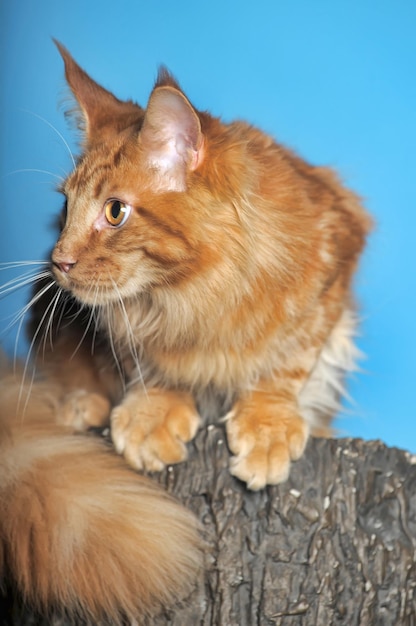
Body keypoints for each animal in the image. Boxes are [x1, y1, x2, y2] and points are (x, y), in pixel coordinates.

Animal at [0, 41, 370, 620]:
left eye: (115, 211)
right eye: (66, 206)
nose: (60, 260)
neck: (191, 295)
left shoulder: (335, 256)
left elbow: (290, 360)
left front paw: (269, 425)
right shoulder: (123, 328)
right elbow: (148, 364)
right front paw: (155, 412)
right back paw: (80, 405)